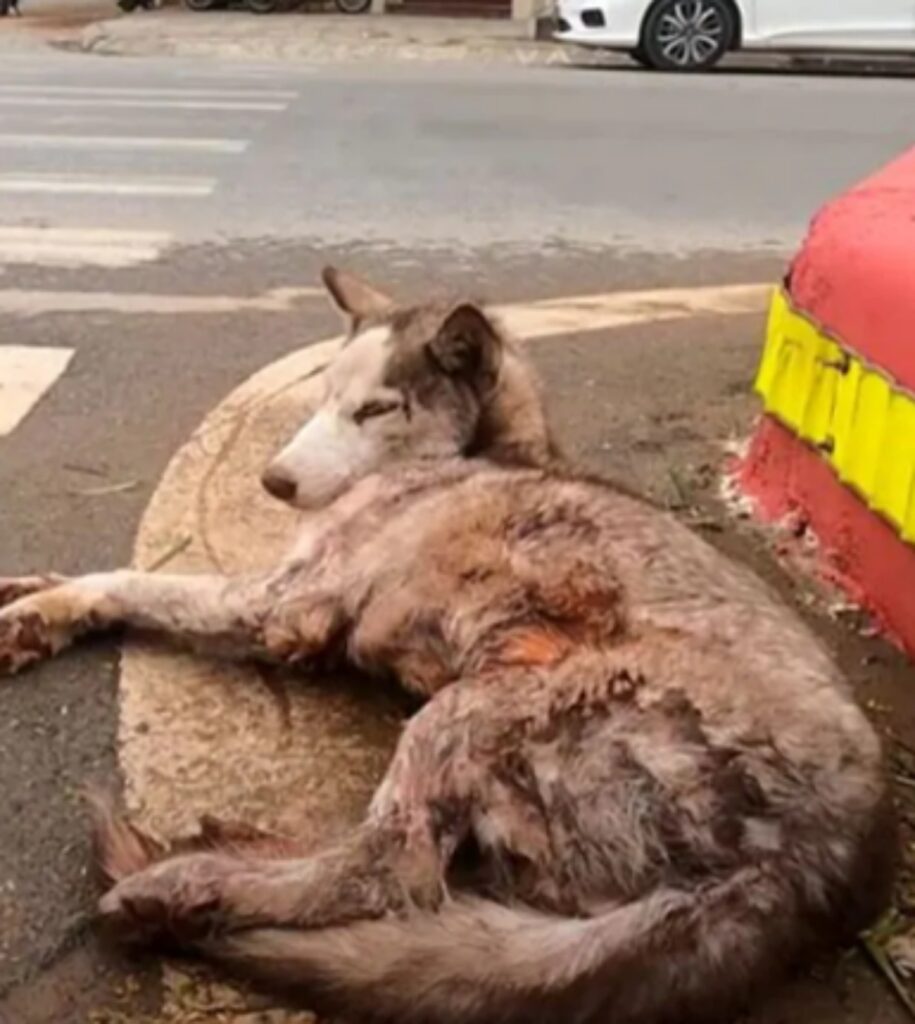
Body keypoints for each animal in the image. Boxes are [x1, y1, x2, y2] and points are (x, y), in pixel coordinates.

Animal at [0, 270, 896, 1024]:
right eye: (324, 398)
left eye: (375, 410)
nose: (273, 483)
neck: (481, 454)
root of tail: (817, 859)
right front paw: (35, 599)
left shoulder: (285, 605)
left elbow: (140, 581)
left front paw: (46, 608)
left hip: (486, 699)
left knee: (392, 869)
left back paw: (192, 883)